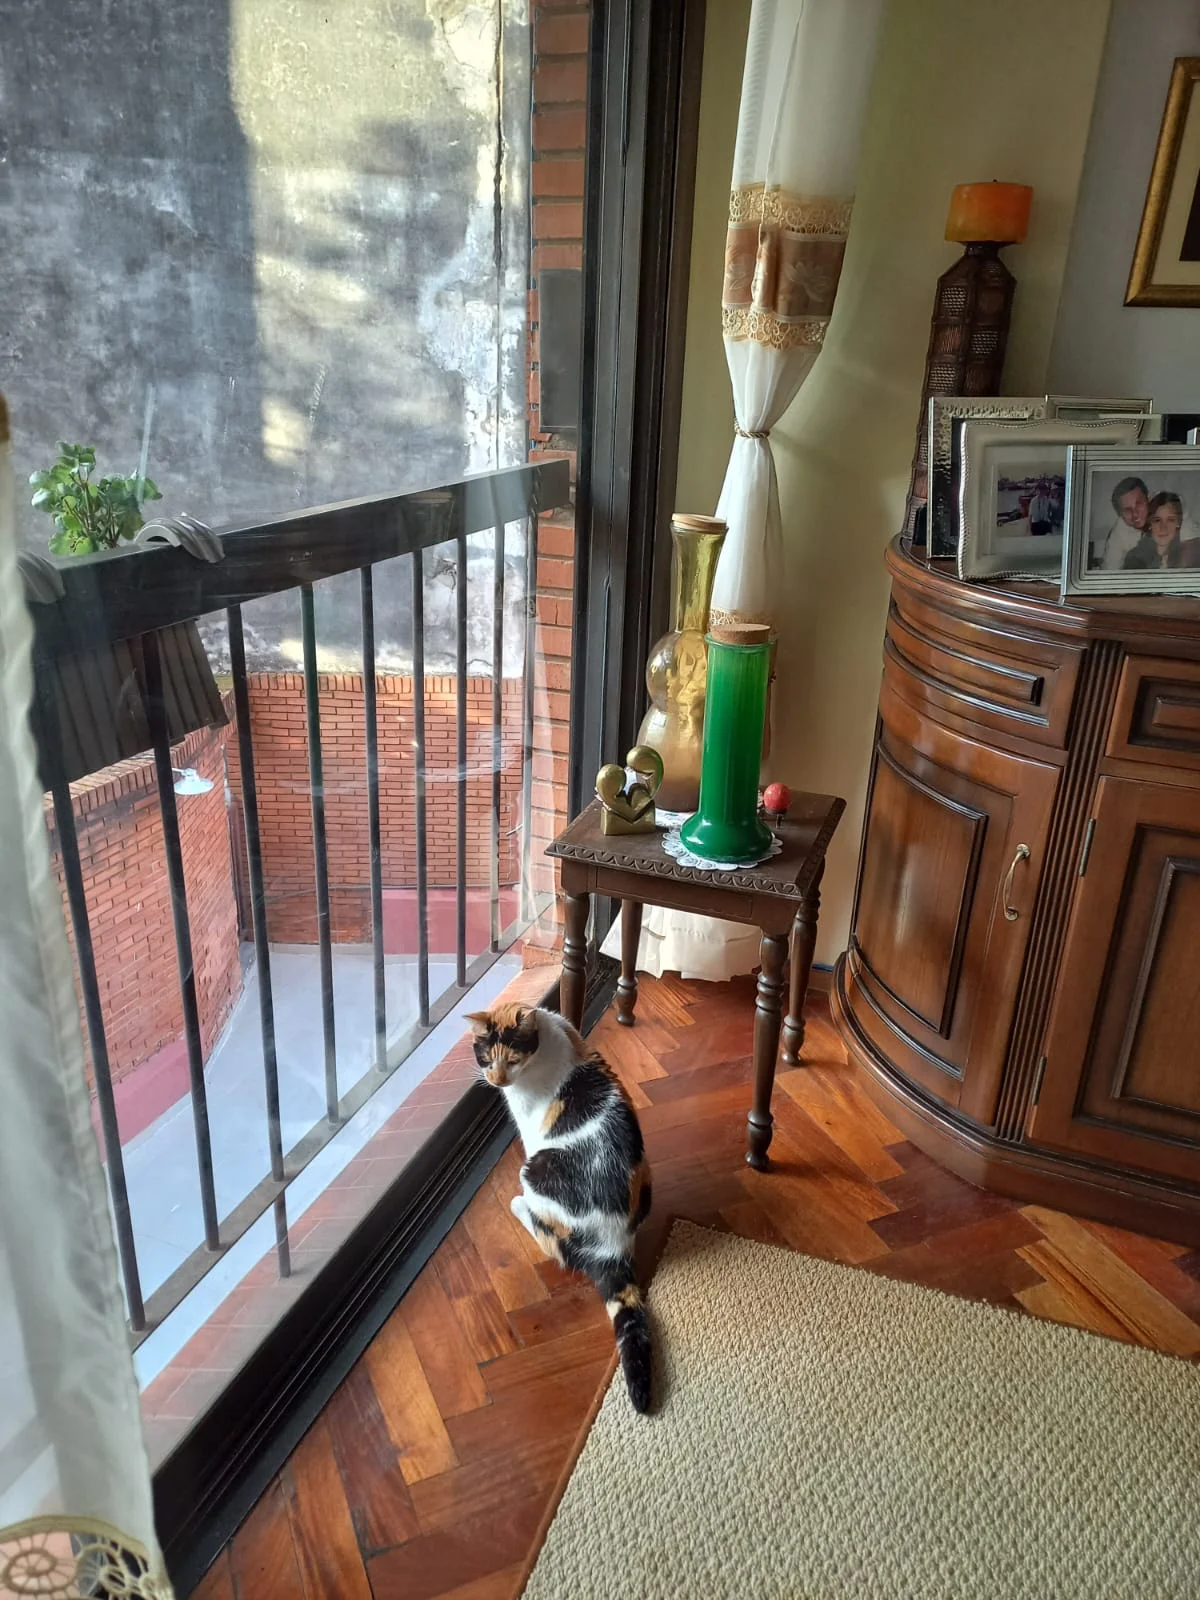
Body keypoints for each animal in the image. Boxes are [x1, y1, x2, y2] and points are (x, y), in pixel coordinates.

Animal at [466, 1002, 654, 1413]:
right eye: (485, 1056)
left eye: (513, 1059)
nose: (498, 1081)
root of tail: (613, 1246)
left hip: (534, 1169)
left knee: (550, 1239)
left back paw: (520, 1205)